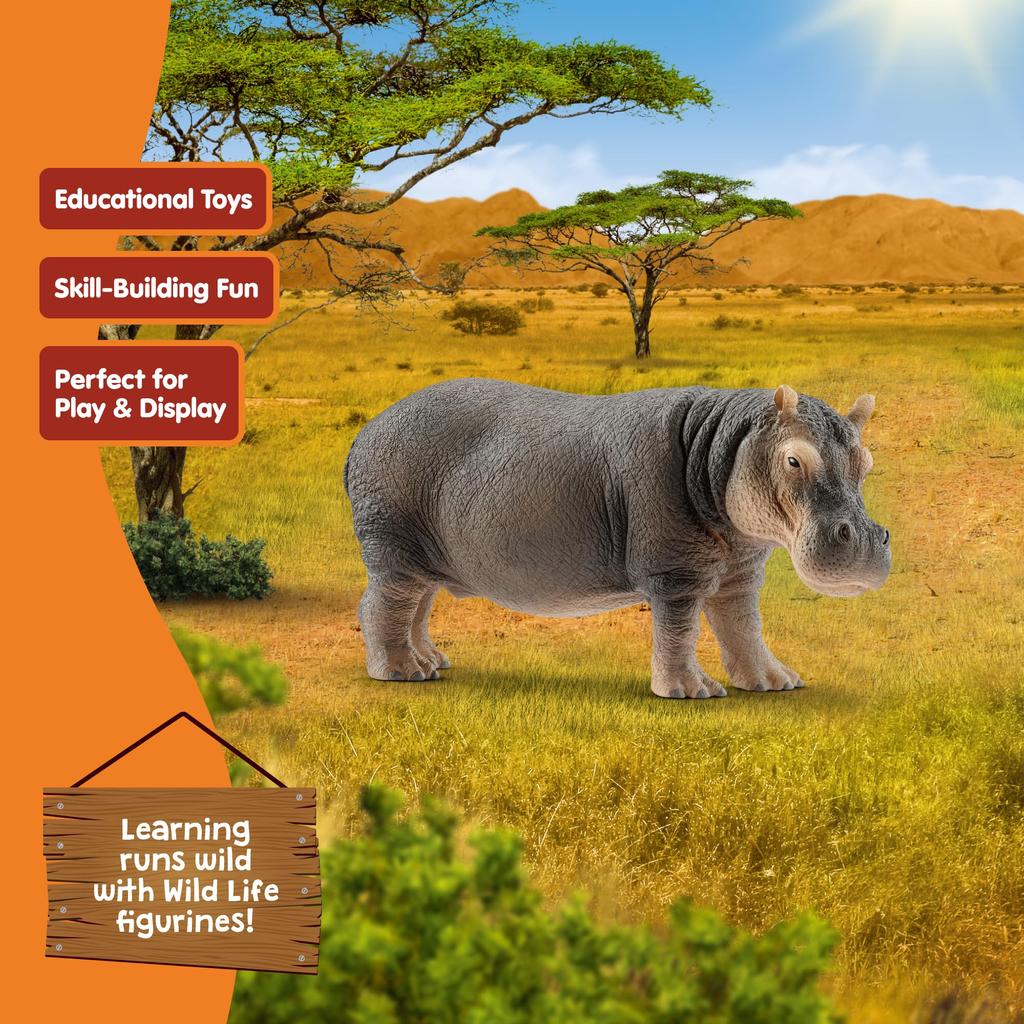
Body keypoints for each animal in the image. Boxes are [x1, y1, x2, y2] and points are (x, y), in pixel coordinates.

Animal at [344, 379, 890, 698]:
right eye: (794, 460)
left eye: (866, 461)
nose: (866, 541)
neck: (727, 441)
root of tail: (366, 431)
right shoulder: (675, 572)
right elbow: (679, 631)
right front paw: (691, 692)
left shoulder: (739, 568)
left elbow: (743, 627)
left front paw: (777, 683)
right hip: (393, 546)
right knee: (383, 604)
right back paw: (403, 673)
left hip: (424, 554)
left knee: (416, 605)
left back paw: (432, 661)